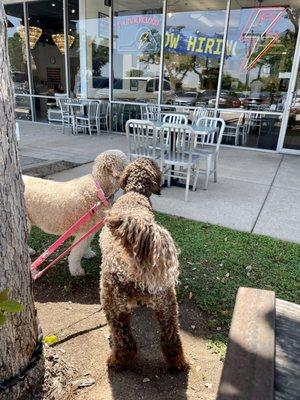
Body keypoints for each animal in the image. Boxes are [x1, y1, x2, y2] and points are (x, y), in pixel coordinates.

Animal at [23, 148, 126, 276]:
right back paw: (33, 271)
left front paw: (88, 253)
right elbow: (77, 252)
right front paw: (76, 271)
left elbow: (86, 244)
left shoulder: (89, 230)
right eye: (126, 164)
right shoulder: (84, 230)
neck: (100, 190)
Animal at [99, 157, 188, 372]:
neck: (135, 193)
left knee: (126, 342)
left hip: (113, 304)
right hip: (168, 307)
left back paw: (116, 361)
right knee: (172, 340)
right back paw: (178, 363)